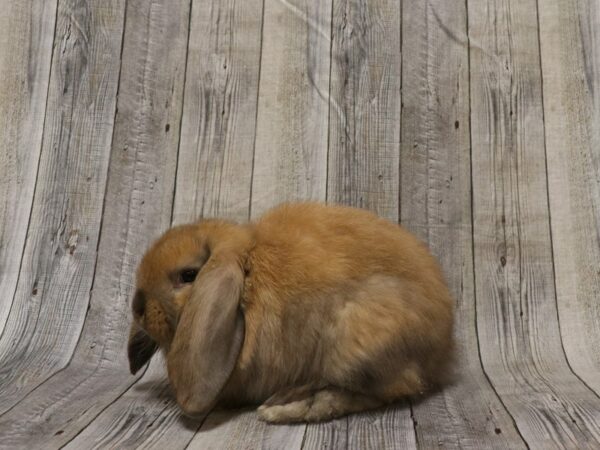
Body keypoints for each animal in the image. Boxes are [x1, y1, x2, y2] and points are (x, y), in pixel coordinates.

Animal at [127, 202, 454, 424]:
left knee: (376, 392)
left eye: (189, 275)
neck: (248, 272)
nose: (138, 307)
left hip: (356, 342)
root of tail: (442, 354)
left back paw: (285, 405)